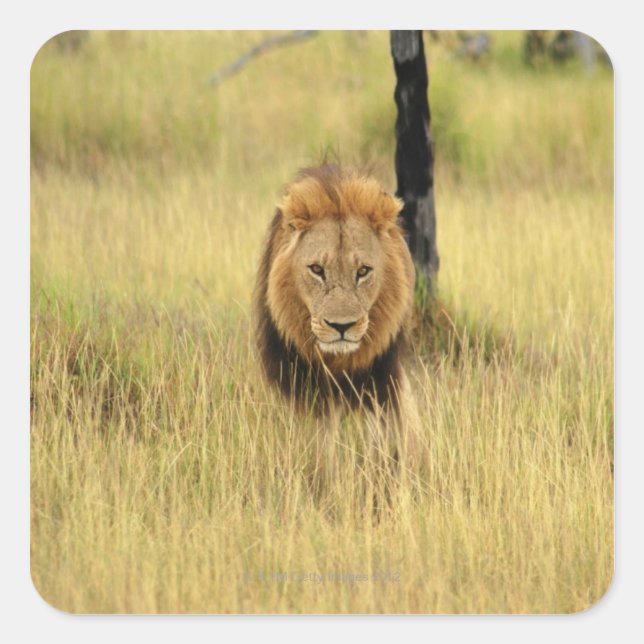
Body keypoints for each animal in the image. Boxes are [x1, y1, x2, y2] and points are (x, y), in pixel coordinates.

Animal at [253, 164, 422, 477]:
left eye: (364, 271)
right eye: (317, 269)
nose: (341, 327)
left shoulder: (380, 382)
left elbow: (378, 439)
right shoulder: (303, 387)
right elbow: (318, 442)